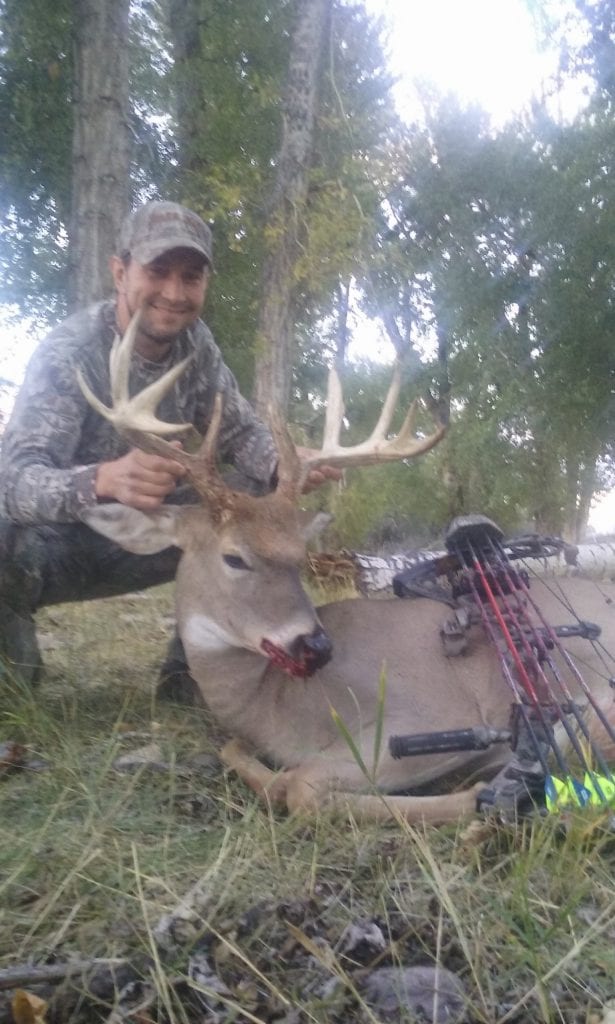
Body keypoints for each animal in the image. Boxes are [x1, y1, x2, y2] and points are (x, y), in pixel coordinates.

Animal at [78, 313, 615, 824]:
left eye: (298, 556)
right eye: (234, 556)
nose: (315, 644)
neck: (271, 702)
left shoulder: (433, 714)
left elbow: (300, 785)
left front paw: (479, 799)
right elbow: (240, 752)